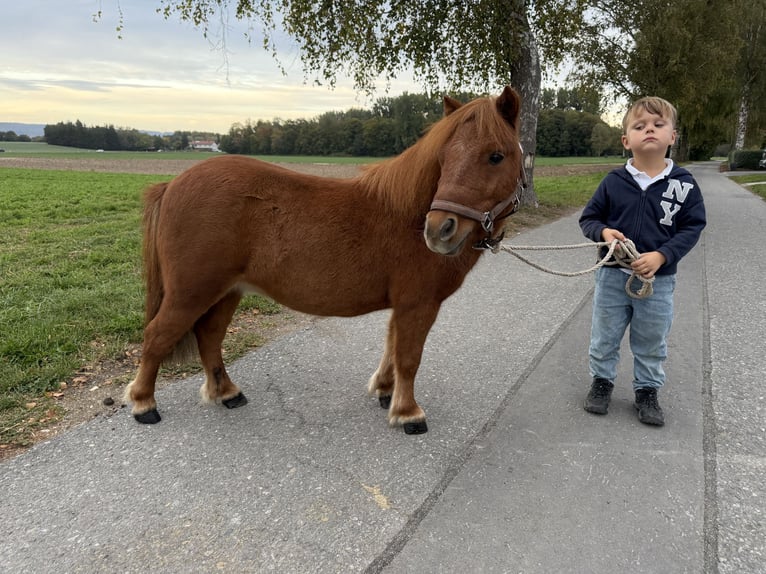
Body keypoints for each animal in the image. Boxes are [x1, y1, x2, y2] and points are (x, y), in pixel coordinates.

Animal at [123, 86, 524, 434]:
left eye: (495, 156)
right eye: (443, 158)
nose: (440, 230)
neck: (407, 213)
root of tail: (172, 185)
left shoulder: (404, 305)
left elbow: (392, 349)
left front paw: (385, 392)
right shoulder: (418, 304)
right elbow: (409, 357)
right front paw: (408, 413)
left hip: (227, 291)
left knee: (209, 337)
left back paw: (227, 393)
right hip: (192, 292)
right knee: (158, 335)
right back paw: (144, 404)